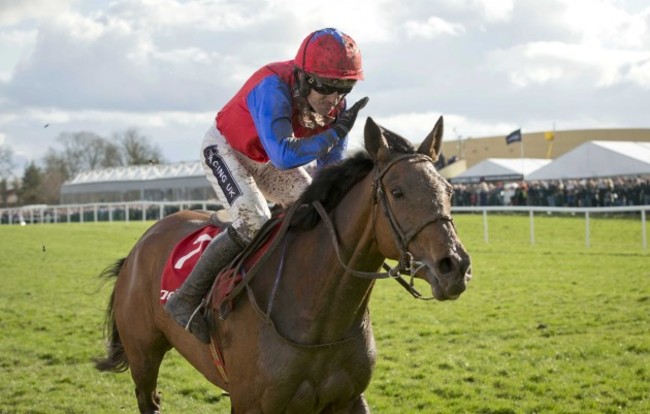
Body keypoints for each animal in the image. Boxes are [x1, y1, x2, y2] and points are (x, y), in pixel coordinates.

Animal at [95, 116, 470, 414]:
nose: (454, 266)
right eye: (397, 192)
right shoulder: (252, 405)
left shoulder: (349, 399)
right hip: (143, 356)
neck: (319, 316)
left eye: (449, 190)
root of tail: (142, 243)